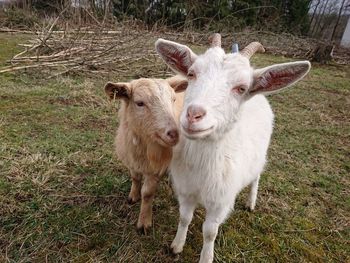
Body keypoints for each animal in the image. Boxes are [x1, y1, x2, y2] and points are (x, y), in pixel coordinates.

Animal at [104, 76, 187, 233]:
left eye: (173, 99)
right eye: (140, 103)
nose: (175, 134)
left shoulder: (155, 168)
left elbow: (147, 194)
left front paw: (144, 222)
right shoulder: (132, 160)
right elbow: (135, 178)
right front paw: (132, 197)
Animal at [154, 34, 310, 262]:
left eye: (241, 88)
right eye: (191, 74)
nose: (193, 114)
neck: (203, 166)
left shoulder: (220, 201)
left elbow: (210, 231)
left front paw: (206, 257)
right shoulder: (186, 190)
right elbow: (184, 218)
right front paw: (176, 246)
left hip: (260, 156)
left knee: (256, 177)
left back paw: (250, 203)